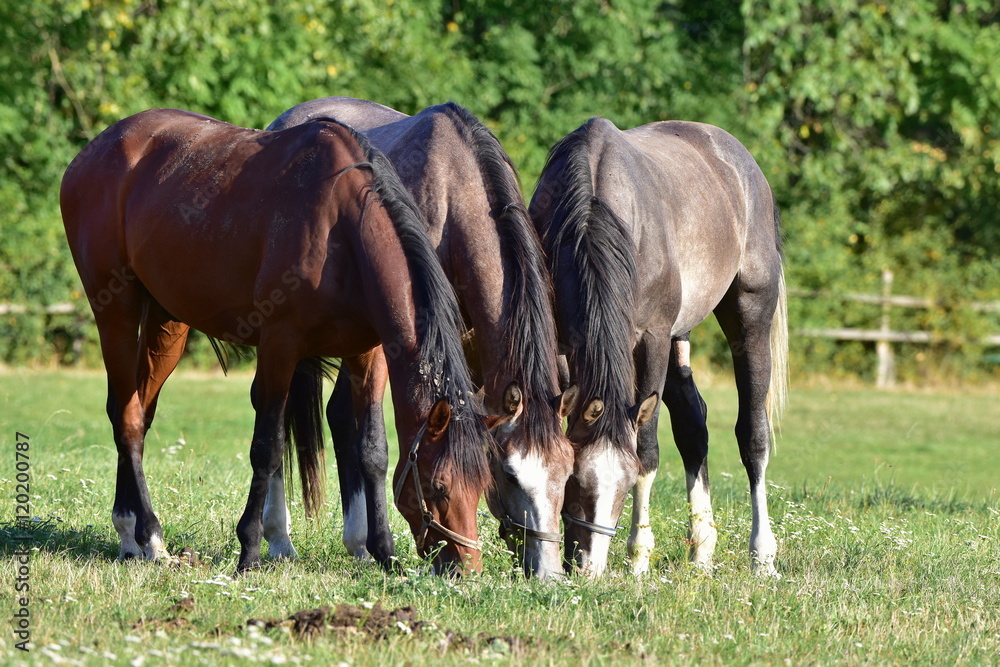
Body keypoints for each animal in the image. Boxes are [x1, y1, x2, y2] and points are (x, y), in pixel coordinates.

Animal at [60, 108, 490, 576]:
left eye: (484, 484)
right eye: (439, 486)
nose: (465, 567)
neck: (340, 228)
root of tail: (92, 152)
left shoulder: (369, 354)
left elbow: (373, 450)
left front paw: (383, 551)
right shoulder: (279, 346)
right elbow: (266, 448)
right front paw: (249, 549)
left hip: (166, 321)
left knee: (137, 408)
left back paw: (131, 536)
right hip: (115, 311)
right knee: (129, 418)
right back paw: (147, 535)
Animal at [268, 98, 580, 580]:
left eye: (566, 473)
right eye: (509, 474)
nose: (548, 572)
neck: (455, 192)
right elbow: (377, 446)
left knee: (338, 414)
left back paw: (356, 543)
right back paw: (287, 540)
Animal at [532, 120, 788, 580]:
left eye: (623, 485)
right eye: (573, 481)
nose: (589, 567)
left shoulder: (650, 340)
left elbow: (648, 449)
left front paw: (638, 557)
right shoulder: (563, 345)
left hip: (749, 318)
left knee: (753, 436)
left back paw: (762, 553)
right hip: (676, 341)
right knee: (693, 425)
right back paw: (702, 549)